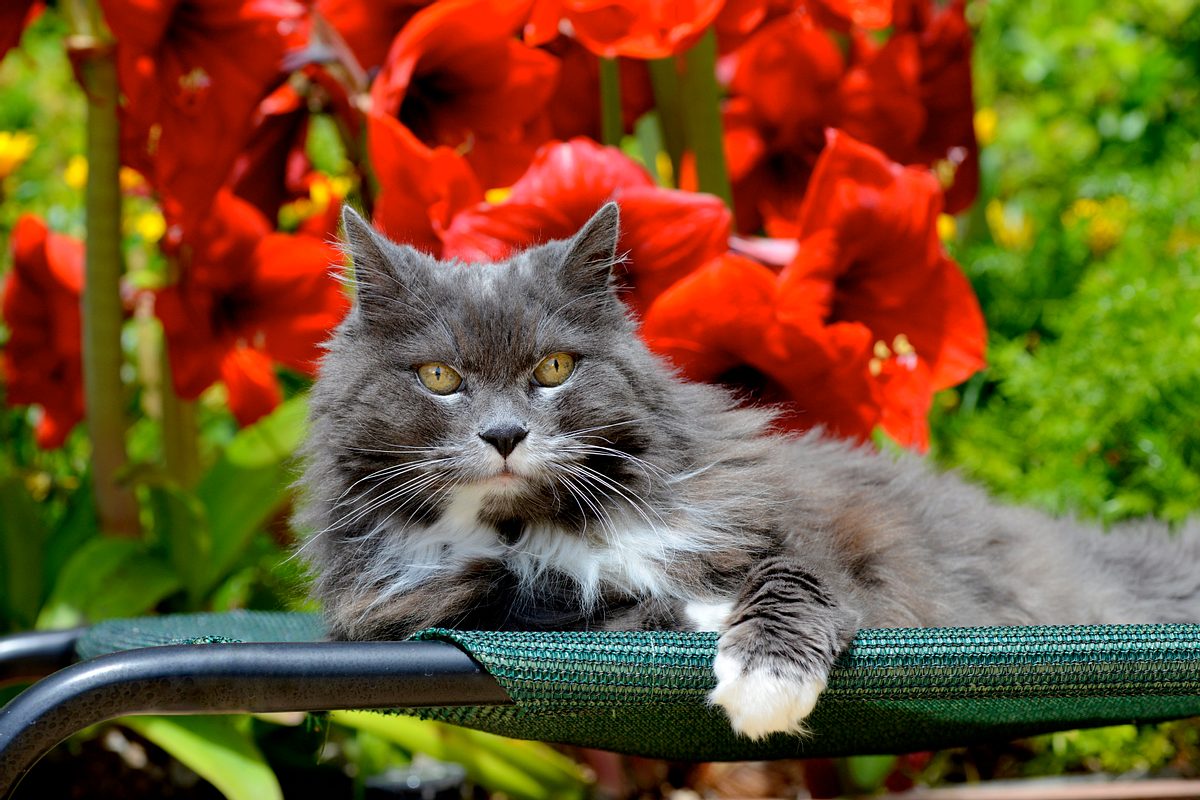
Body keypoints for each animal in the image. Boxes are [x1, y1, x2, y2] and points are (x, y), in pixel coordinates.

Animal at [295, 203, 1200, 743]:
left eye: (553, 368)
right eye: (440, 378)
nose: (506, 434)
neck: (544, 524)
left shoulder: (807, 535)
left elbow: (791, 581)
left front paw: (761, 675)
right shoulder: (407, 605)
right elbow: (554, 599)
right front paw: (683, 617)